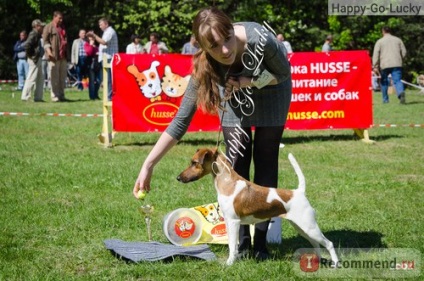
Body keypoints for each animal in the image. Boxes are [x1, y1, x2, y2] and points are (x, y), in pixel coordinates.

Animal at [177, 147, 340, 264]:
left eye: (194, 163)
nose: (178, 177)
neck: (228, 182)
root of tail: (299, 192)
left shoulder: (234, 221)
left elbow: (232, 246)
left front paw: (229, 263)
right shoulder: (229, 223)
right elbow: (231, 244)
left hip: (308, 226)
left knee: (329, 243)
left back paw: (335, 263)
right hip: (302, 227)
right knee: (316, 243)